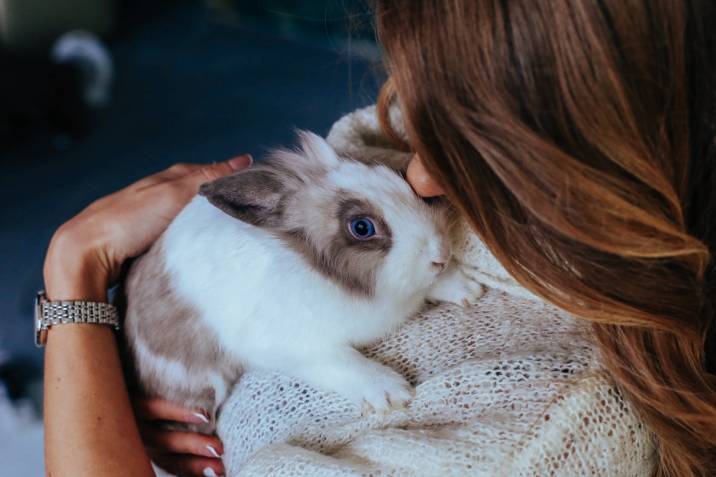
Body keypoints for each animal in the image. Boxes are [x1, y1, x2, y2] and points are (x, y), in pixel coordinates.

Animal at [123, 130, 484, 428]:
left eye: (398, 178)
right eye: (362, 227)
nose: (441, 253)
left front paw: (466, 287)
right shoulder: (293, 346)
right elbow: (343, 361)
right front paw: (391, 392)